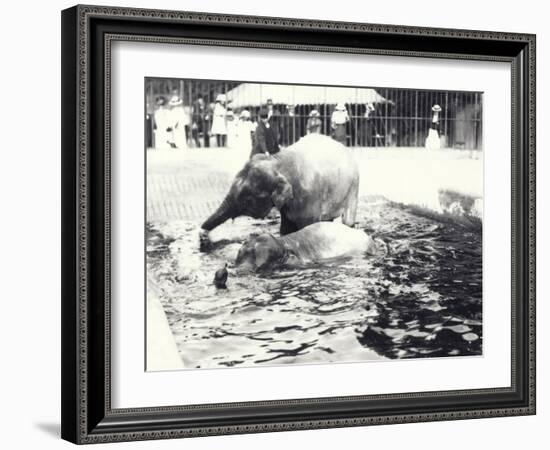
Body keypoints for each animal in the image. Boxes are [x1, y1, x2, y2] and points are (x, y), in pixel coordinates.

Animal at [201, 134, 360, 237]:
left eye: (247, 199)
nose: (202, 234)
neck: (278, 161)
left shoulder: (310, 196)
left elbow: (307, 226)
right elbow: (285, 229)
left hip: (354, 186)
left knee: (347, 220)